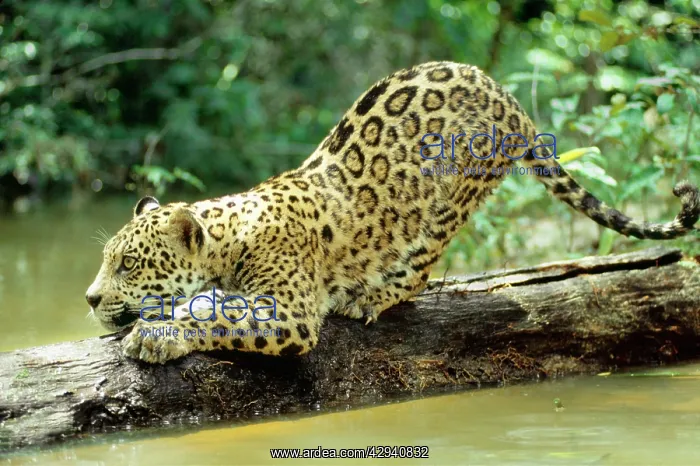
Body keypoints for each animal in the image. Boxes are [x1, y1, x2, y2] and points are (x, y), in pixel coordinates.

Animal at [86, 61, 699, 364]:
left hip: (452, 197)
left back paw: (370, 296)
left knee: (422, 267)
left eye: (128, 264)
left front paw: (157, 336)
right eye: (107, 259)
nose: (89, 299)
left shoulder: (290, 311)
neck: (231, 235)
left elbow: (220, 315)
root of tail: (509, 98)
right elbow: (208, 302)